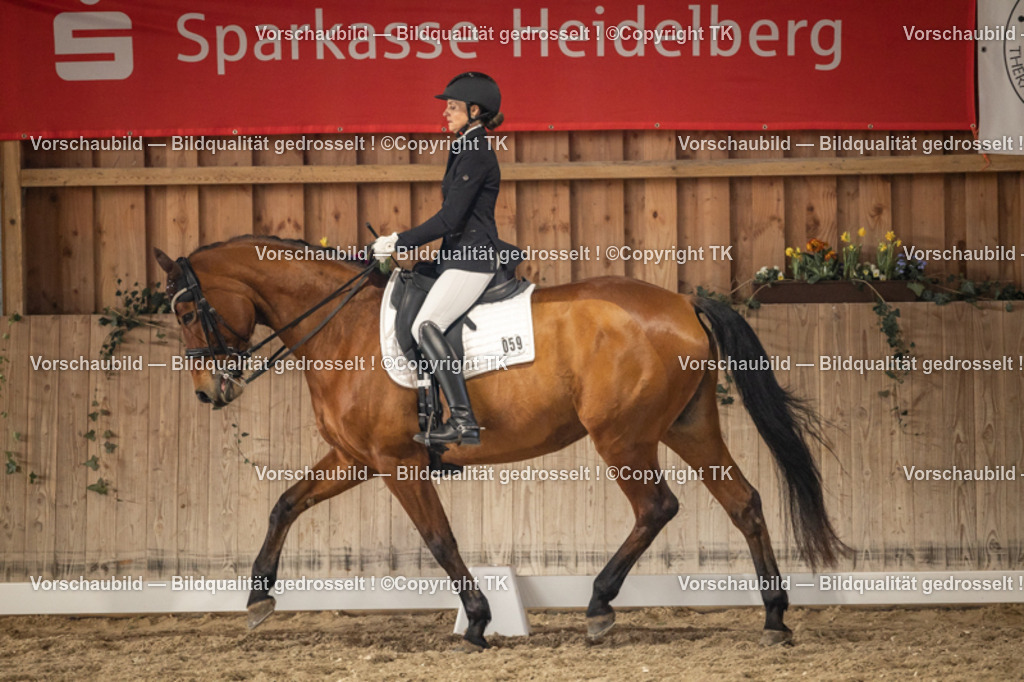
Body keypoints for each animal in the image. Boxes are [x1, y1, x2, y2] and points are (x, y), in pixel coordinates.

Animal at [154, 235, 847, 651]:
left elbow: (439, 539)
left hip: (622, 437)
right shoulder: (357, 459)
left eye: (187, 312)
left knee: (657, 508)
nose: (207, 393)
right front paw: (257, 597)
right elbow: (285, 504)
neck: (340, 328)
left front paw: (480, 620)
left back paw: (599, 605)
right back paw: (774, 616)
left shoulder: (397, 463)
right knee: (744, 502)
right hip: (688, 426)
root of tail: (683, 303)